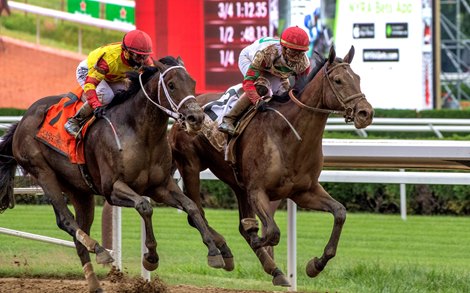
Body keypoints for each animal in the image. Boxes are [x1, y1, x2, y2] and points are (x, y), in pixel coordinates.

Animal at [0, 56, 228, 290]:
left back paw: (94, 283)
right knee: (65, 219)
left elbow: (192, 207)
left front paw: (214, 253)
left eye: (192, 83)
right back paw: (100, 250)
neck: (140, 133)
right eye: (171, 85)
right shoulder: (112, 189)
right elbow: (144, 207)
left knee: (78, 235)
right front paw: (151, 257)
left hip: (79, 191)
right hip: (43, 172)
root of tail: (21, 120)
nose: (196, 118)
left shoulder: (161, 186)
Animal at [169, 46, 374, 286]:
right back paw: (223, 252)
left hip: (237, 183)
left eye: (358, 78)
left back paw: (274, 270)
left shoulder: (304, 192)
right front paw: (257, 240)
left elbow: (340, 212)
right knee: (197, 213)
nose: (366, 113)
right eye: (338, 80)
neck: (290, 136)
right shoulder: (258, 190)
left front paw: (315, 265)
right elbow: (272, 233)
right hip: (190, 166)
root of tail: (182, 113)